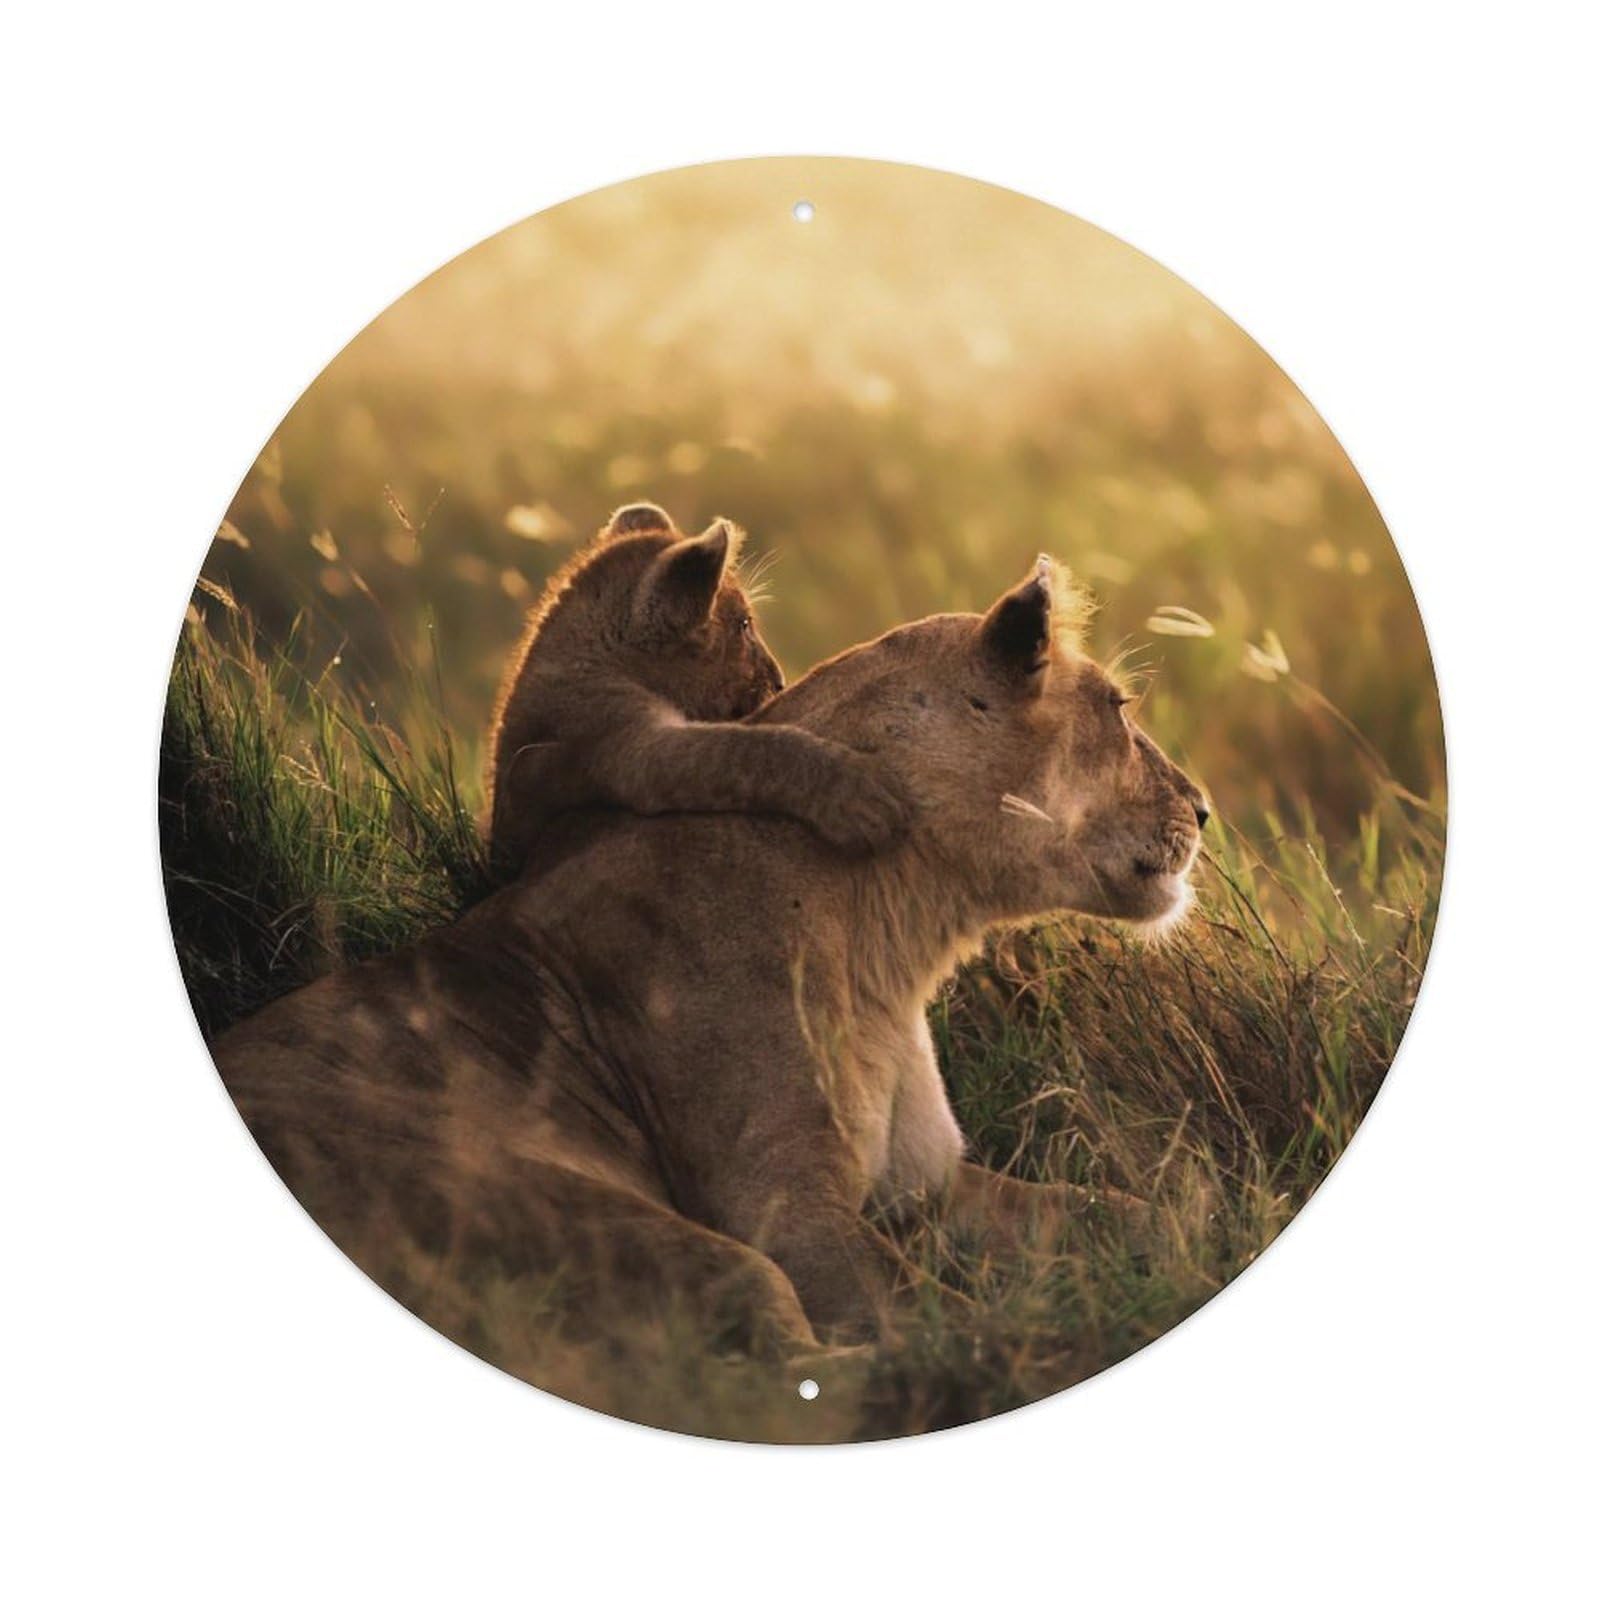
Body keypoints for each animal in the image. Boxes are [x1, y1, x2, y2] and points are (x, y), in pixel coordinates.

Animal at [213, 556, 1208, 1414]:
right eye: (1119, 706)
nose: (1202, 808)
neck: (895, 934)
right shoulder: (783, 1209)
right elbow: (926, 1306)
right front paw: (1048, 1327)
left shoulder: (925, 1186)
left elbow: (1123, 1212)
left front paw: (1190, 1230)